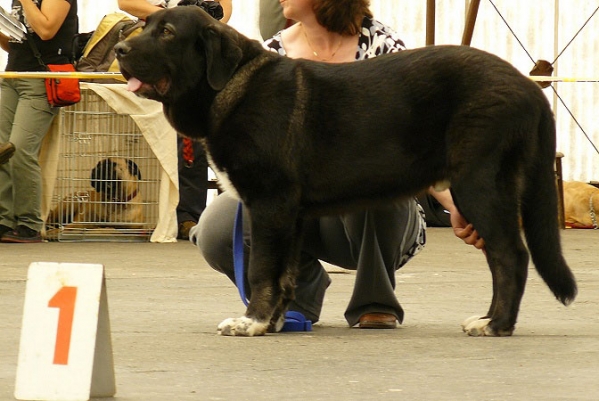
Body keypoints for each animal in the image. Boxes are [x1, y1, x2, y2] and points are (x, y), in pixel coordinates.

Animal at [115, 7, 580, 336]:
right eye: (146, 24)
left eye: (167, 32)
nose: (120, 51)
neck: (228, 86)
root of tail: (526, 86)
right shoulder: (291, 214)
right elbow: (284, 275)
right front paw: (278, 322)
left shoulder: (268, 204)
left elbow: (262, 269)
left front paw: (252, 322)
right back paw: (489, 319)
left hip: (478, 184)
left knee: (510, 256)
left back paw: (496, 324)